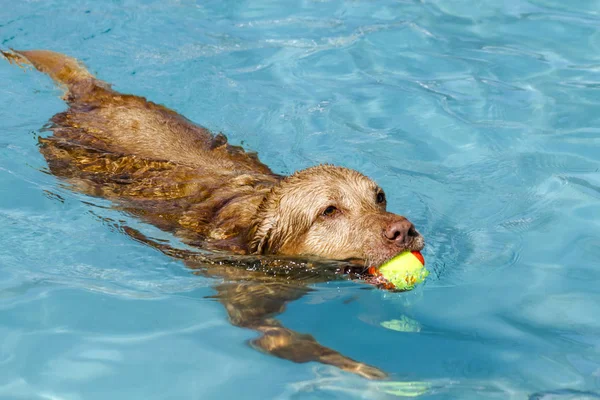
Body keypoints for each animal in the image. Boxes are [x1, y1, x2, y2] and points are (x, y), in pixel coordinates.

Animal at [4, 49, 426, 378]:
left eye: (379, 197)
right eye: (329, 210)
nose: (403, 230)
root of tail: (94, 96)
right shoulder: (247, 305)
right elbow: (293, 342)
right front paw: (367, 371)